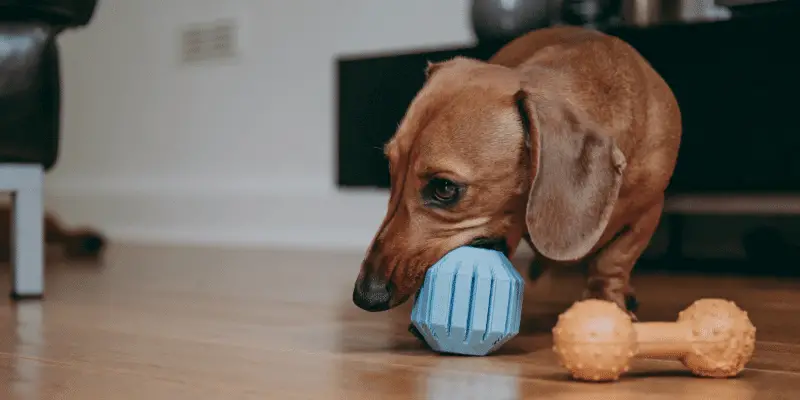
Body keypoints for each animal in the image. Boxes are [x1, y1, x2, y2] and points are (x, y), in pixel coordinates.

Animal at [352, 25, 680, 324]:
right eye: (391, 169)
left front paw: (606, 301)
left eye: (444, 188)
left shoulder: (649, 211)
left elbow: (614, 260)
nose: (365, 296)